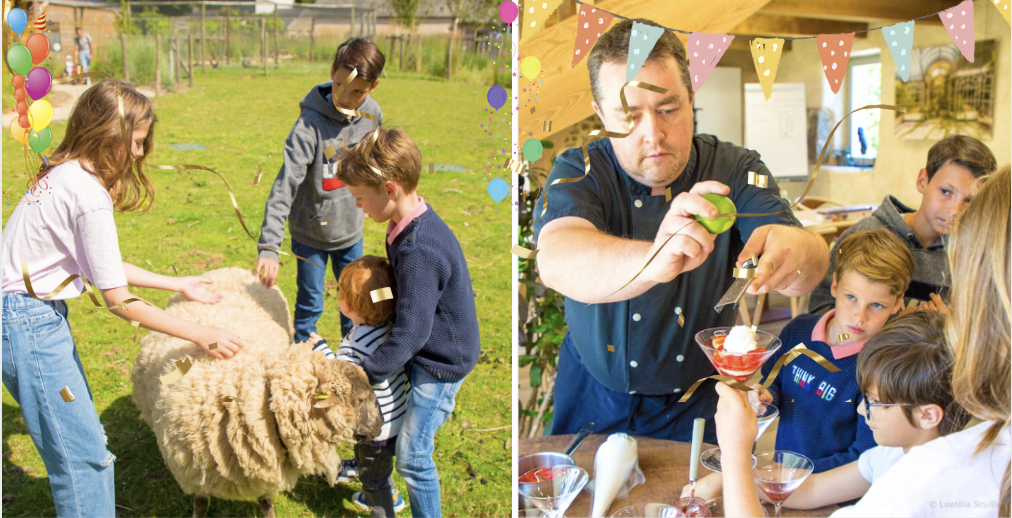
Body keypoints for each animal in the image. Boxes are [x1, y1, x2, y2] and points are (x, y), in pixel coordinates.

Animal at [126, 269, 380, 515]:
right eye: (360, 398)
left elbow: (266, 502)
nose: (379, 427)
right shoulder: (196, 474)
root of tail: (233, 269)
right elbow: (200, 503)